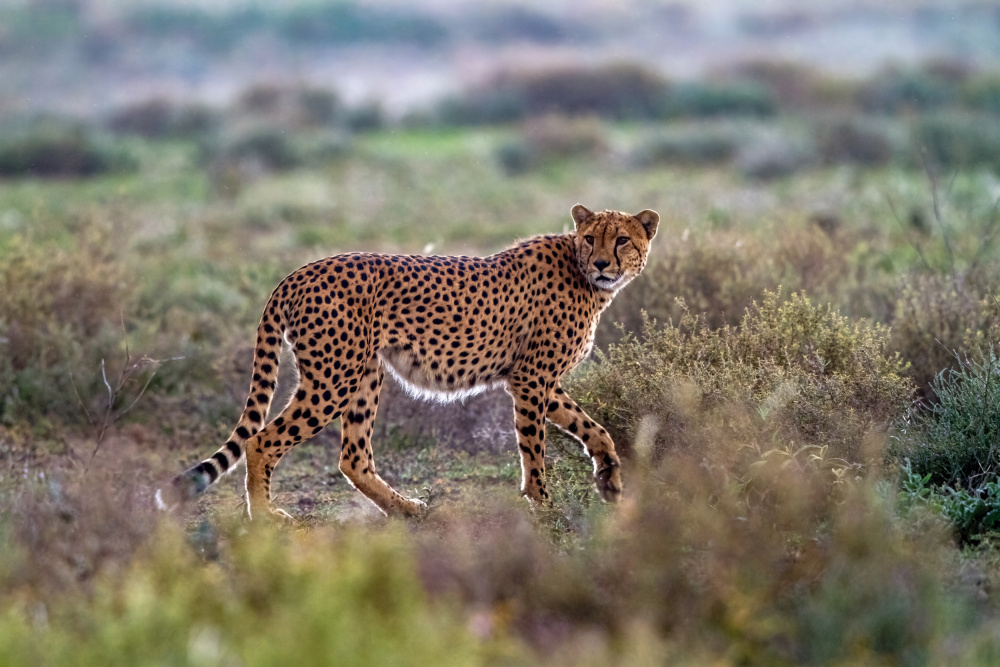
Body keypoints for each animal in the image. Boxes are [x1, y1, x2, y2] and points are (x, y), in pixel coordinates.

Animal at [158, 205, 656, 520]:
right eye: (590, 239)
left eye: (622, 240)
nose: (603, 263)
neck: (583, 275)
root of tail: (299, 272)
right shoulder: (532, 380)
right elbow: (534, 451)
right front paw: (545, 505)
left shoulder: (538, 381)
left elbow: (594, 427)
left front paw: (609, 478)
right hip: (333, 379)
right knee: (262, 442)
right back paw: (265, 520)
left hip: (365, 373)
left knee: (353, 458)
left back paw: (407, 510)